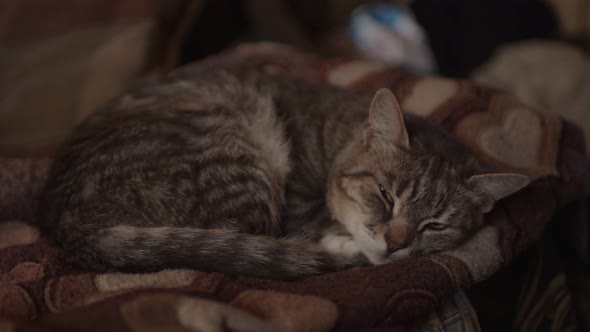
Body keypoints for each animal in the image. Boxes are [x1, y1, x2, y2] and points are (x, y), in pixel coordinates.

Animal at [39, 69, 536, 280]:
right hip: (234, 152)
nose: (396, 245)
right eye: (384, 193)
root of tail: (68, 220)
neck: (337, 133)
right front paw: (348, 243)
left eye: (435, 225)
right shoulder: (298, 202)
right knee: (246, 235)